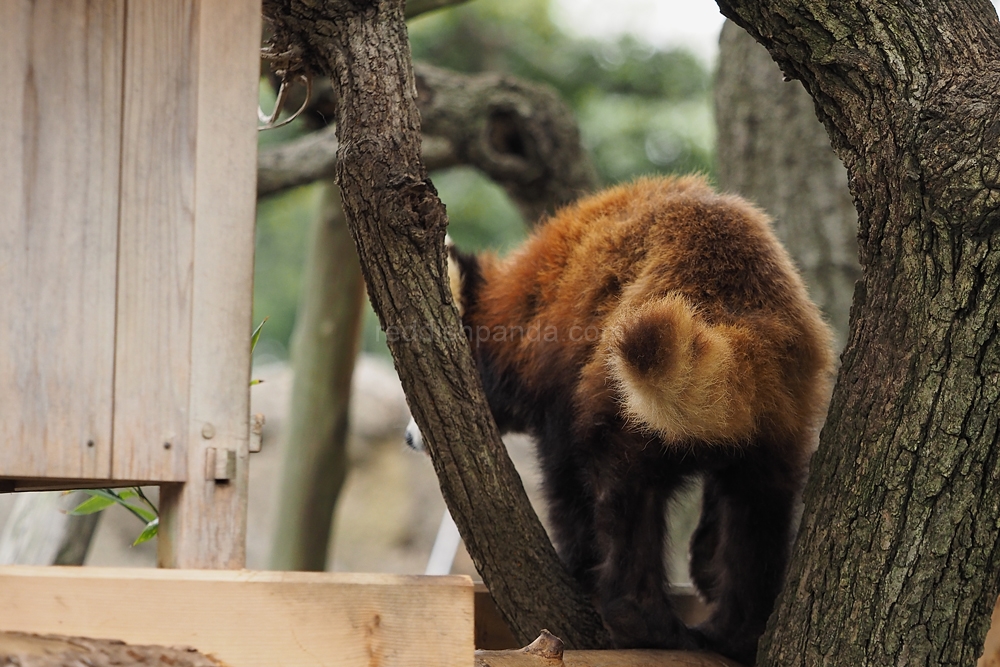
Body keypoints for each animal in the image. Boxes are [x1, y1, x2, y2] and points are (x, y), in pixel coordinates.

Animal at [406, 175, 836, 664]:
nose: (409, 437)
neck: (528, 298)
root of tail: (736, 310)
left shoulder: (560, 389)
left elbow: (566, 485)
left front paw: (578, 565)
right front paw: (706, 560)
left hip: (625, 394)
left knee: (623, 494)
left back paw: (643, 622)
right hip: (777, 415)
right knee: (759, 507)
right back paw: (735, 633)